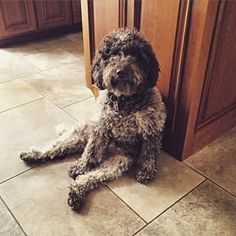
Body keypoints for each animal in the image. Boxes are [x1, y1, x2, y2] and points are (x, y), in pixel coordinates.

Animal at [19, 28, 166, 211]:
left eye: (135, 55)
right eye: (111, 54)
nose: (121, 71)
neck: (124, 101)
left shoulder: (151, 129)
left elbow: (149, 153)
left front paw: (146, 171)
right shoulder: (100, 130)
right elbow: (90, 152)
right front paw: (81, 166)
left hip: (117, 163)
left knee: (89, 177)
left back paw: (76, 194)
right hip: (79, 135)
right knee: (56, 148)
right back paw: (34, 155)